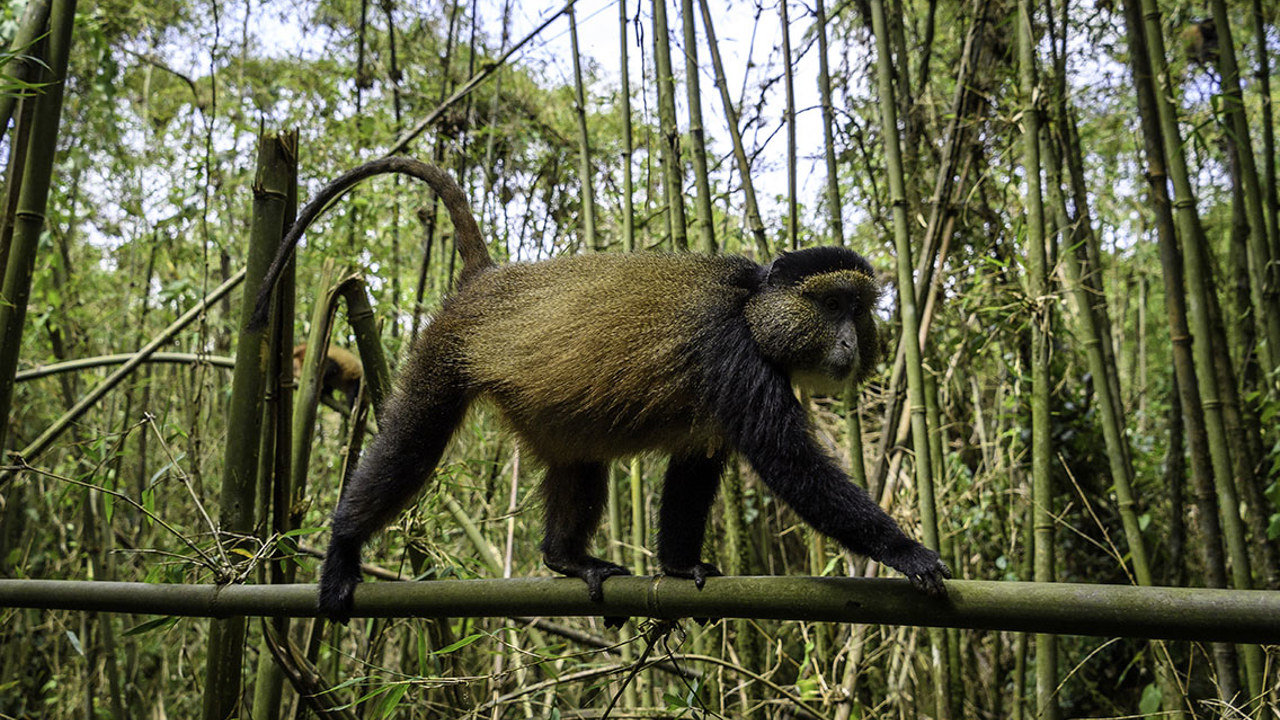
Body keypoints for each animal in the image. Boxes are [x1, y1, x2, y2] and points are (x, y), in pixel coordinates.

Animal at [249, 158, 951, 623]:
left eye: (858, 310)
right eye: (832, 304)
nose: (850, 343)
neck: (754, 309)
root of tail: (486, 280)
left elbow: (695, 470)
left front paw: (679, 567)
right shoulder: (734, 356)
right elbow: (792, 465)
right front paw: (908, 552)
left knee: (579, 464)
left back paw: (567, 559)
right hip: (443, 357)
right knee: (410, 447)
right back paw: (343, 549)